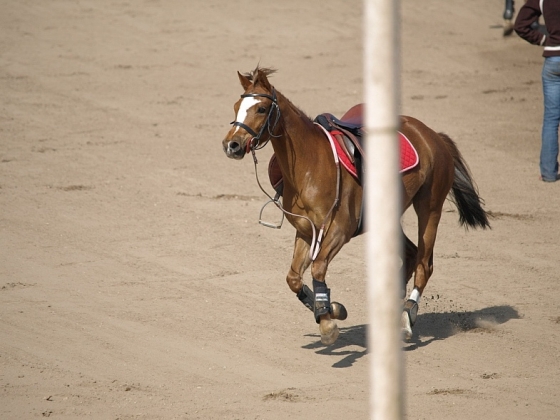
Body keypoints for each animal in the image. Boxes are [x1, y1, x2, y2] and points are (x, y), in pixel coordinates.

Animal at [221, 66, 488, 344]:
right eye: (236, 106)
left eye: (261, 109)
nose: (232, 145)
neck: (309, 166)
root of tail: (434, 135)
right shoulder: (306, 231)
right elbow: (293, 278)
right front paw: (330, 308)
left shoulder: (340, 230)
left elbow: (318, 268)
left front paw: (327, 321)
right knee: (412, 254)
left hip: (430, 208)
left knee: (425, 264)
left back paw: (406, 319)